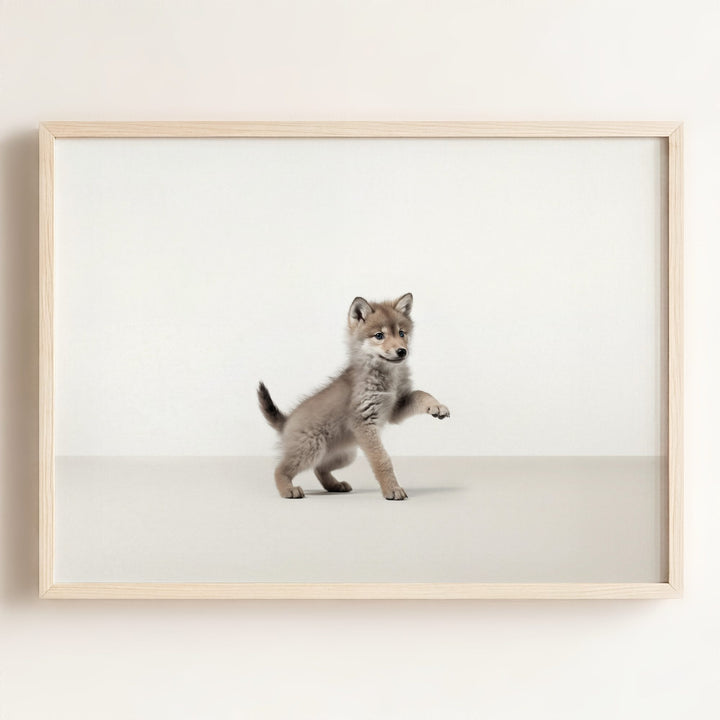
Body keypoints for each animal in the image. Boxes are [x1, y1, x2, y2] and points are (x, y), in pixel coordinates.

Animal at [257, 293, 450, 500]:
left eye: (401, 333)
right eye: (379, 336)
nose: (402, 351)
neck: (387, 376)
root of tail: (286, 421)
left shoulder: (395, 408)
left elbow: (421, 394)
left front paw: (436, 406)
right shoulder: (365, 422)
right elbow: (382, 460)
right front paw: (392, 489)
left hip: (345, 455)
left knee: (319, 468)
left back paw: (334, 485)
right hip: (311, 449)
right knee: (280, 469)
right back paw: (288, 489)